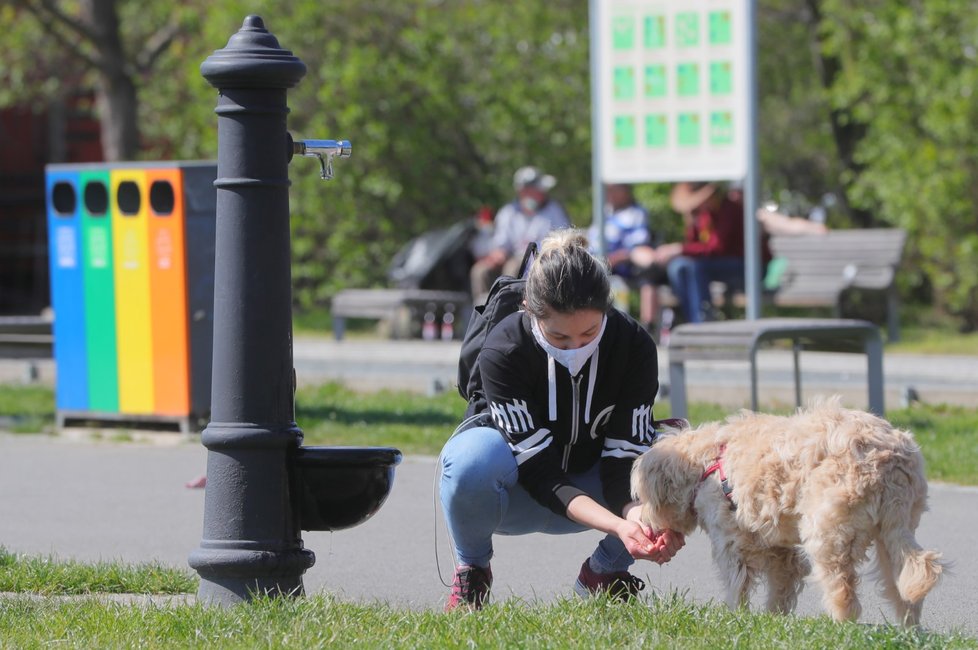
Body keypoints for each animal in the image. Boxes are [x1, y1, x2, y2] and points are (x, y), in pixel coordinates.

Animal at [628, 394, 940, 624]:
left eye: (642, 497)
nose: (641, 519)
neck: (707, 463)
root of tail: (888, 460)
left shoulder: (730, 543)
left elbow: (737, 584)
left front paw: (736, 617)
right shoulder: (781, 550)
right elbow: (781, 588)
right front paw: (773, 621)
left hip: (828, 533)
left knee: (842, 588)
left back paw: (840, 625)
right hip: (893, 532)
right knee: (908, 579)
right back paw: (910, 628)